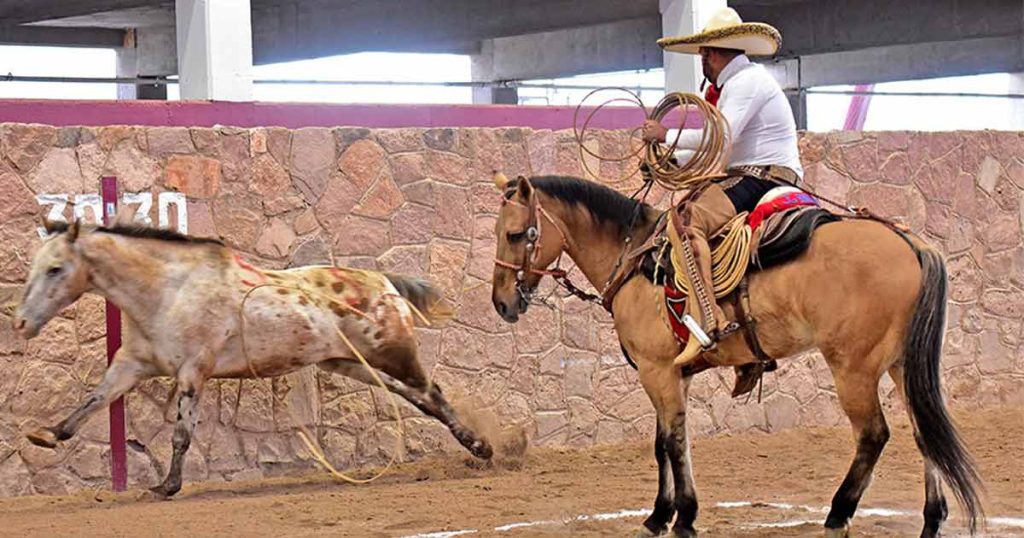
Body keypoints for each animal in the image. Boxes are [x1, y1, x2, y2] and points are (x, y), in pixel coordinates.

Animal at [14, 220, 493, 498]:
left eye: (55, 269)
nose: (20, 322)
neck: (168, 290)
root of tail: (384, 283)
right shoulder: (131, 364)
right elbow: (93, 400)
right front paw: (47, 434)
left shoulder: (194, 371)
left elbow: (181, 434)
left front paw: (167, 486)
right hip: (349, 362)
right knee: (416, 397)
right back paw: (476, 445)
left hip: (393, 353)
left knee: (432, 390)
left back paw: (484, 447)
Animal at [489, 173, 983, 536]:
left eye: (515, 234)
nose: (502, 303)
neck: (635, 261)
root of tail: (911, 243)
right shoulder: (674, 374)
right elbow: (665, 442)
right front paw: (660, 515)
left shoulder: (656, 370)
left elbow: (672, 442)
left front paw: (683, 517)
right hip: (902, 366)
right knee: (923, 433)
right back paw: (931, 521)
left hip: (853, 368)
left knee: (874, 436)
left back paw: (837, 515)